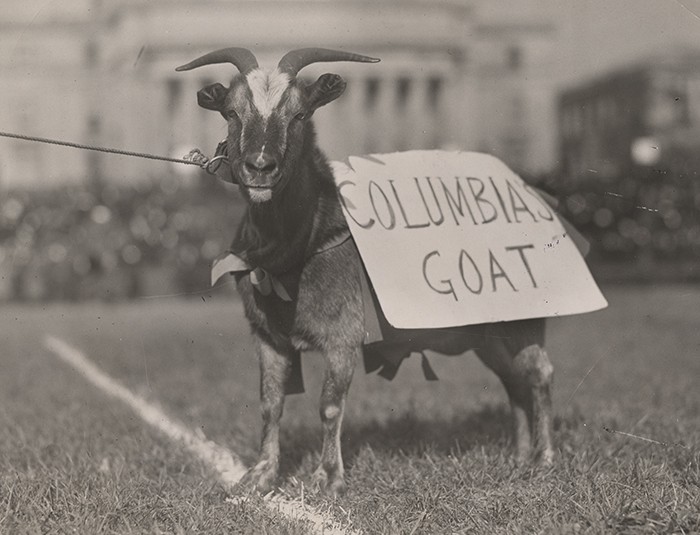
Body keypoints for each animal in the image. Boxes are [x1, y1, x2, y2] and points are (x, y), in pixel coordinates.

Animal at [175, 48, 552, 496]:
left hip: (523, 319)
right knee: (514, 380)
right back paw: (520, 458)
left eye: (300, 114)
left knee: (539, 374)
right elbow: (270, 404)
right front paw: (259, 476)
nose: (260, 167)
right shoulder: (268, 336)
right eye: (231, 112)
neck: (301, 244)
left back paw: (545, 459)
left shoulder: (344, 334)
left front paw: (328, 478)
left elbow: (329, 404)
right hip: (485, 336)